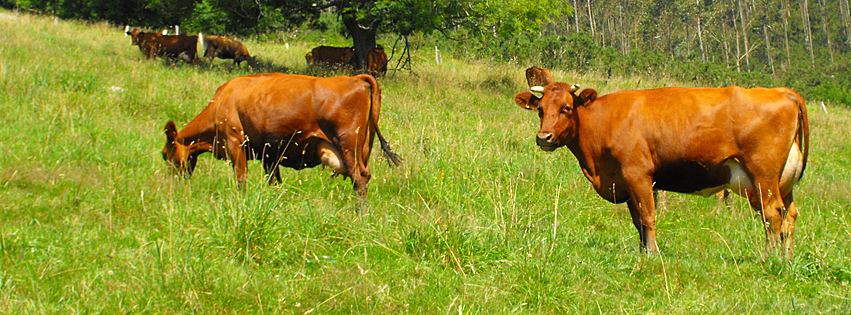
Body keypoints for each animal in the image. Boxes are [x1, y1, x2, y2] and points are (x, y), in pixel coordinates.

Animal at [161, 74, 402, 198]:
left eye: (165, 154)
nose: (172, 183)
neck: (221, 102)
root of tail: (356, 78)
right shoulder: (270, 155)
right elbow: (274, 182)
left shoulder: (235, 143)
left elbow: (241, 180)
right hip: (362, 150)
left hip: (348, 147)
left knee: (359, 180)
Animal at [516, 84, 808, 260]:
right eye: (540, 109)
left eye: (566, 108)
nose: (544, 137)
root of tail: (782, 91)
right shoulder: (626, 182)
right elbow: (637, 220)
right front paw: (642, 250)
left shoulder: (638, 175)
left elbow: (648, 216)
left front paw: (653, 253)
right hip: (781, 183)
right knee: (789, 215)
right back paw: (787, 258)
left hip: (763, 177)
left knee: (773, 215)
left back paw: (769, 257)